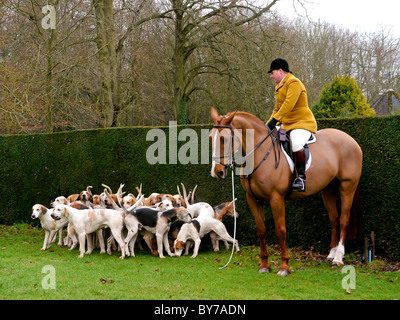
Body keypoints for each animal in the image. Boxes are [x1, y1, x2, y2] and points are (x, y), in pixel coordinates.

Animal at [209, 107, 362, 276]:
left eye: (224, 139)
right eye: (210, 138)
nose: (217, 172)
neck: (260, 152)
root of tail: (351, 140)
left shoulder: (276, 198)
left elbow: (280, 230)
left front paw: (284, 266)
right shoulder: (253, 199)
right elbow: (261, 230)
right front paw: (264, 265)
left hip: (347, 186)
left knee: (343, 219)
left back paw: (338, 258)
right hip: (328, 188)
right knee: (334, 219)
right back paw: (331, 254)